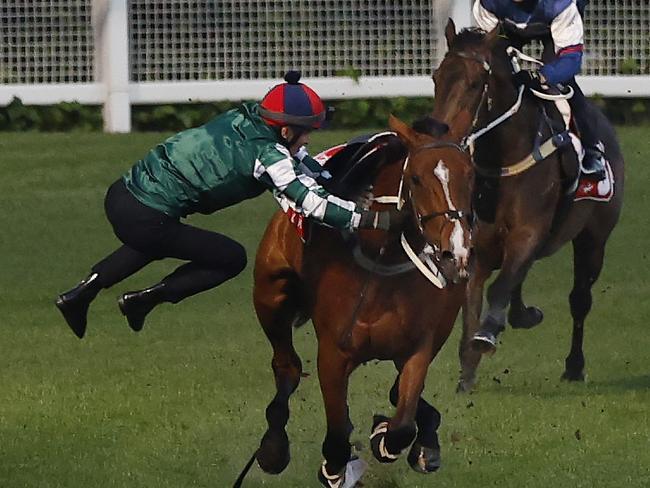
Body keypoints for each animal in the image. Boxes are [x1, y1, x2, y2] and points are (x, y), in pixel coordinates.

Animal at [244, 116, 470, 486]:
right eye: (416, 178)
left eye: (471, 174)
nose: (457, 252)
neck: (383, 264)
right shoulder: (333, 355)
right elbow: (337, 433)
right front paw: (334, 467)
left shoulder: (419, 348)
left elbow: (402, 422)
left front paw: (384, 436)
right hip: (270, 296)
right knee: (287, 366)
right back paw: (273, 448)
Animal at [430, 21, 624, 392]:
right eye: (436, 77)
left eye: (474, 83)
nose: (440, 138)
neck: (502, 163)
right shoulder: (478, 244)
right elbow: (473, 299)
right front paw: (467, 373)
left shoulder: (530, 230)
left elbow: (500, 286)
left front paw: (487, 334)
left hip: (594, 238)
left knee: (579, 298)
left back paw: (574, 366)